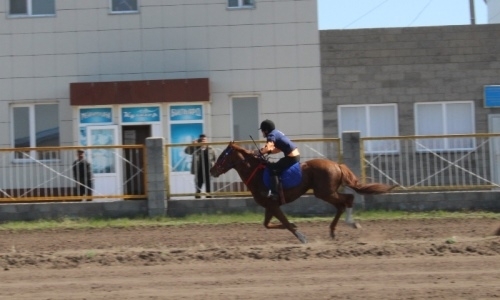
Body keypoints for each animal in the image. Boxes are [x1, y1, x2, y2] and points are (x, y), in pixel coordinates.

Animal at [209, 141, 396, 244]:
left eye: (222, 156)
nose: (212, 170)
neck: (256, 173)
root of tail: (337, 165)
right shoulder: (270, 206)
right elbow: (268, 224)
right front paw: (296, 226)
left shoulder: (273, 204)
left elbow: (284, 223)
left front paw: (302, 236)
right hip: (325, 193)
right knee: (342, 204)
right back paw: (333, 231)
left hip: (325, 192)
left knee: (347, 199)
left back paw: (351, 223)